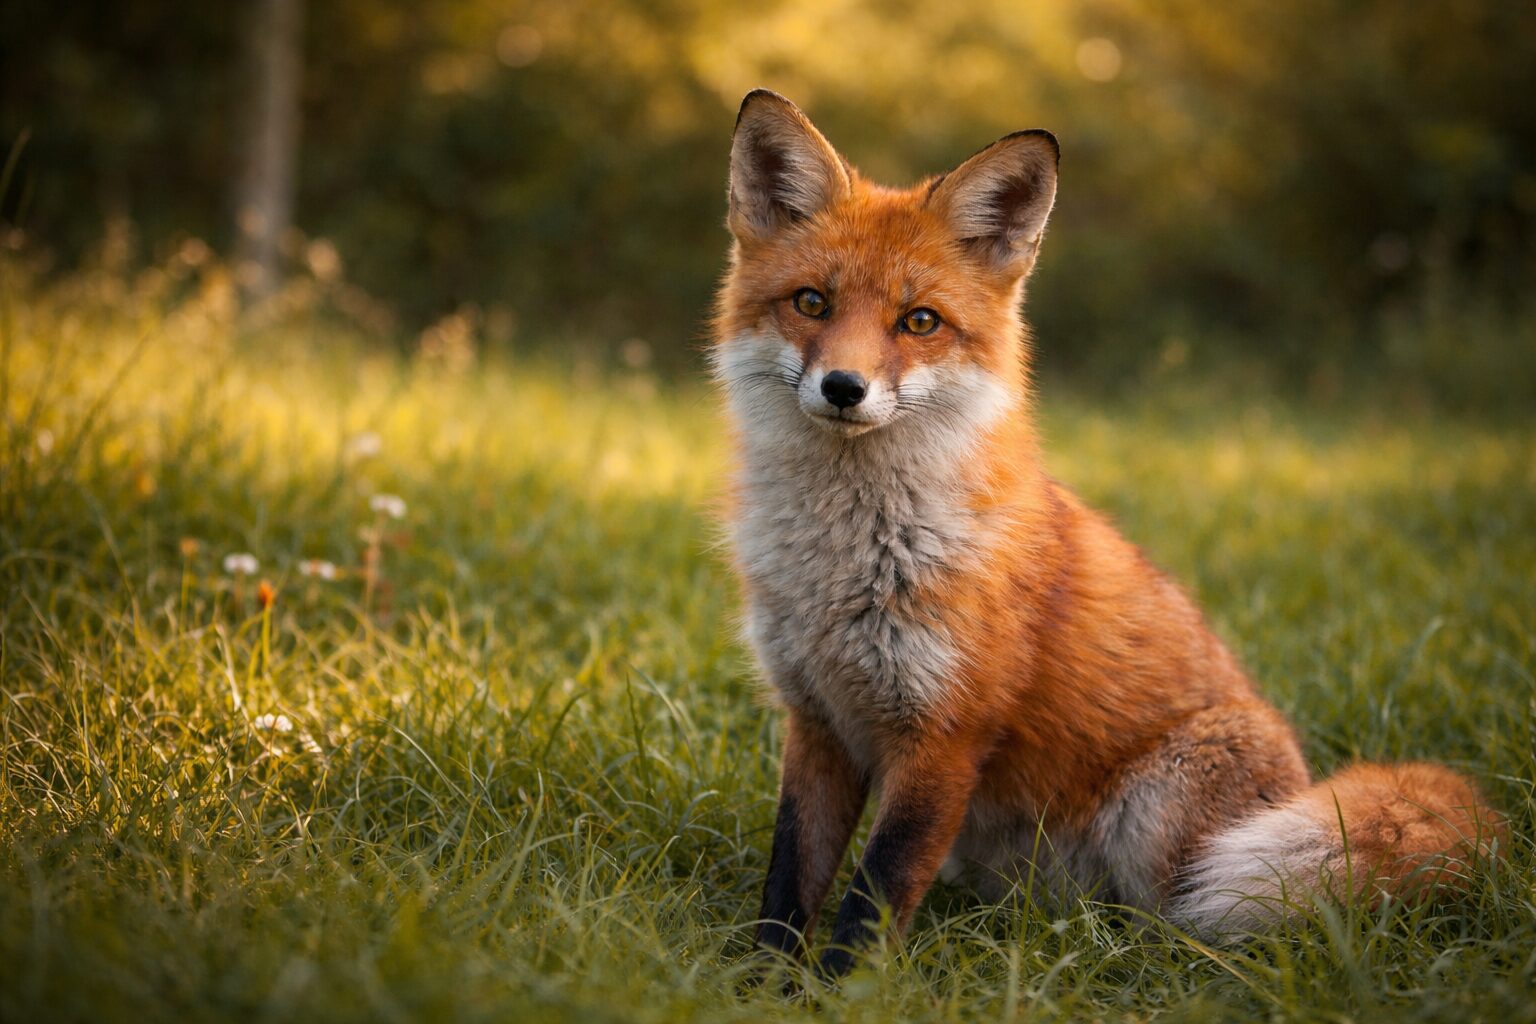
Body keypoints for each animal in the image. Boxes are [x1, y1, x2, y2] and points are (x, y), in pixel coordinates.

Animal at [709, 89, 1504, 978]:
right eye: (811, 302)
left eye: (919, 321)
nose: (844, 387)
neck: (846, 564)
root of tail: (1306, 782)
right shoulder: (816, 724)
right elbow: (789, 886)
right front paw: (759, 986)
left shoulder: (944, 737)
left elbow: (870, 902)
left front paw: (841, 993)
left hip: (1171, 816)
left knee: (1189, 934)